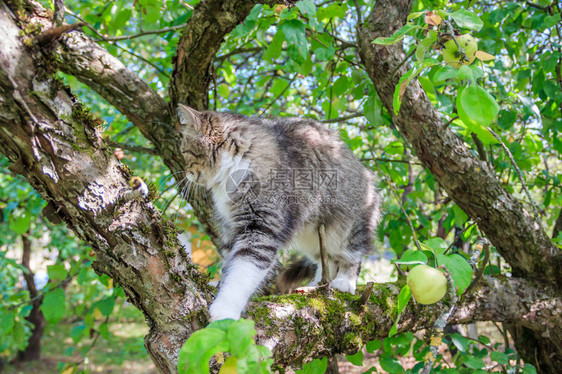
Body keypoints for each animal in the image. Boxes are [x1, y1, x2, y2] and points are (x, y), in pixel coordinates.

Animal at [177, 103, 378, 320]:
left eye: (185, 152)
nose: (186, 173)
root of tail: (366, 171)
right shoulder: (231, 227)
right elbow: (228, 263)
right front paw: (220, 286)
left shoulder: (261, 227)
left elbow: (242, 272)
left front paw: (225, 309)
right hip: (314, 238)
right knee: (327, 262)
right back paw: (319, 285)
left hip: (346, 229)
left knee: (352, 256)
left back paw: (344, 282)